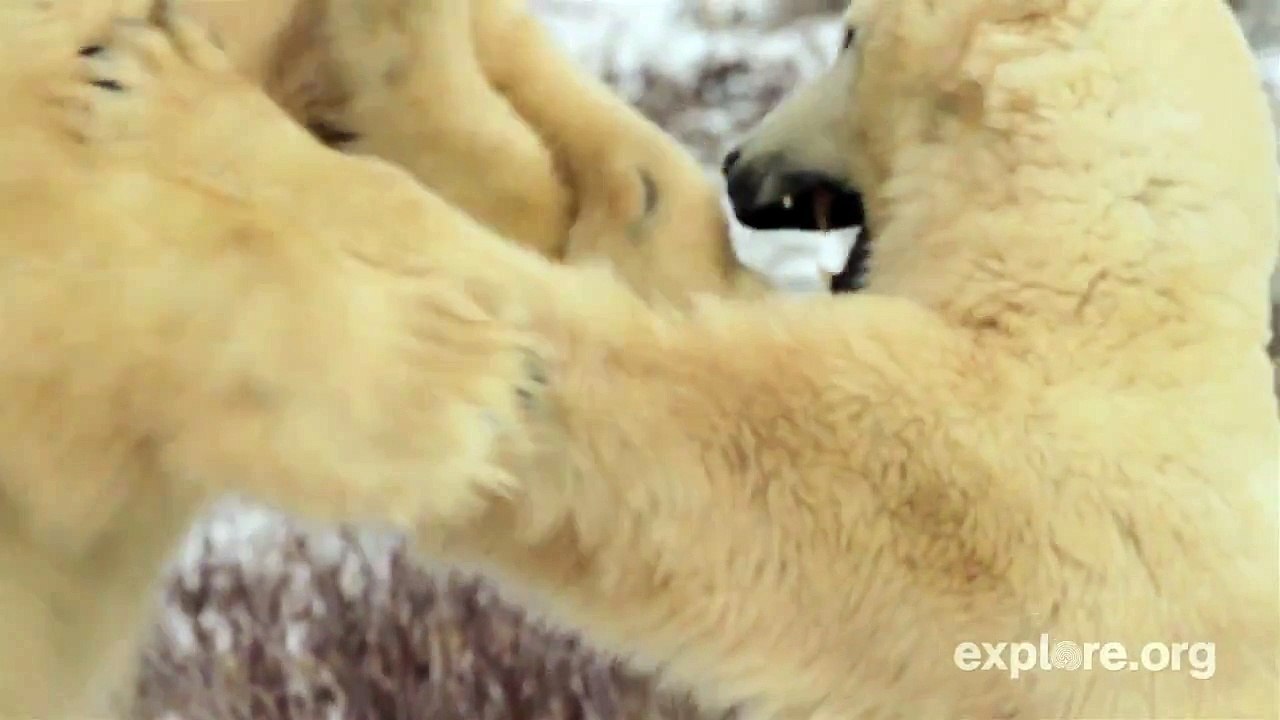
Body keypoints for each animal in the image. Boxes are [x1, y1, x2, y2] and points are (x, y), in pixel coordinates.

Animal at [27, 0, 1280, 717]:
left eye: (844, 33)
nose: (739, 163)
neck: (1105, 276)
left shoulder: (972, 494)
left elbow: (660, 429)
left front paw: (171, 91)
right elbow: (662, 270)